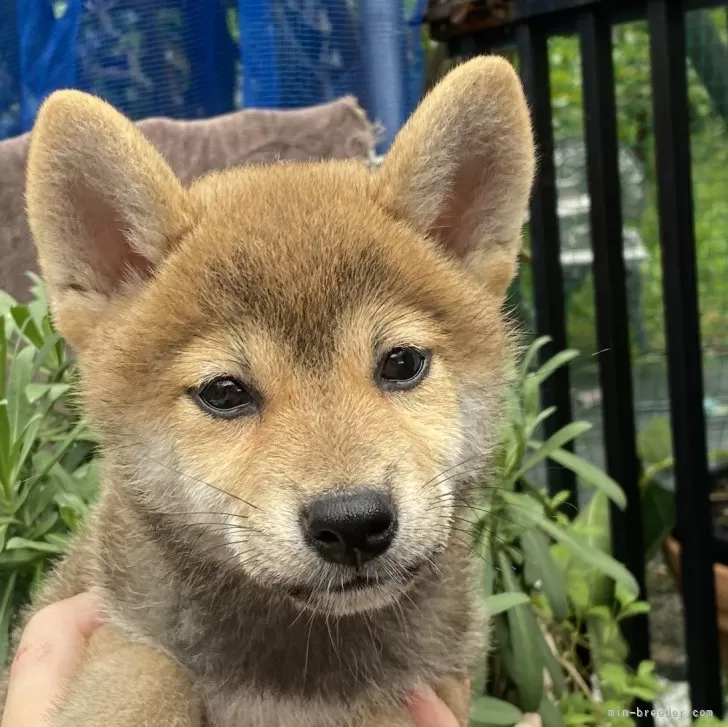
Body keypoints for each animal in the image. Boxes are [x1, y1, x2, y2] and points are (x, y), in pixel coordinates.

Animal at [0, 54, 536, 724]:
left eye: (402, 362)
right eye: (225, 392)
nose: (353, 522)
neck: (291, 676)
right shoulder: (116, 621)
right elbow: (143, 674)